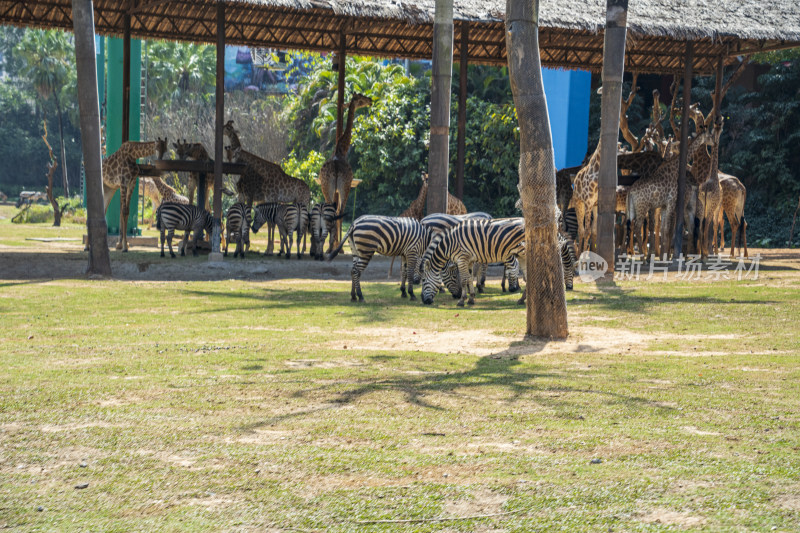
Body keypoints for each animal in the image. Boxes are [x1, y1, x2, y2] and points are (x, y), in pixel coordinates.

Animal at [318, 93, 374, 245]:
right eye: (361, 98)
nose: (370, 101)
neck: (341, 149)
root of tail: (336, 169)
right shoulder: (343, 187)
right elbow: (339, 213)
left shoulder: (335, 190)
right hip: (345, 186)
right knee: (340, 212)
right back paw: (335, 245)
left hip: (326, 187)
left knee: (330, 212)